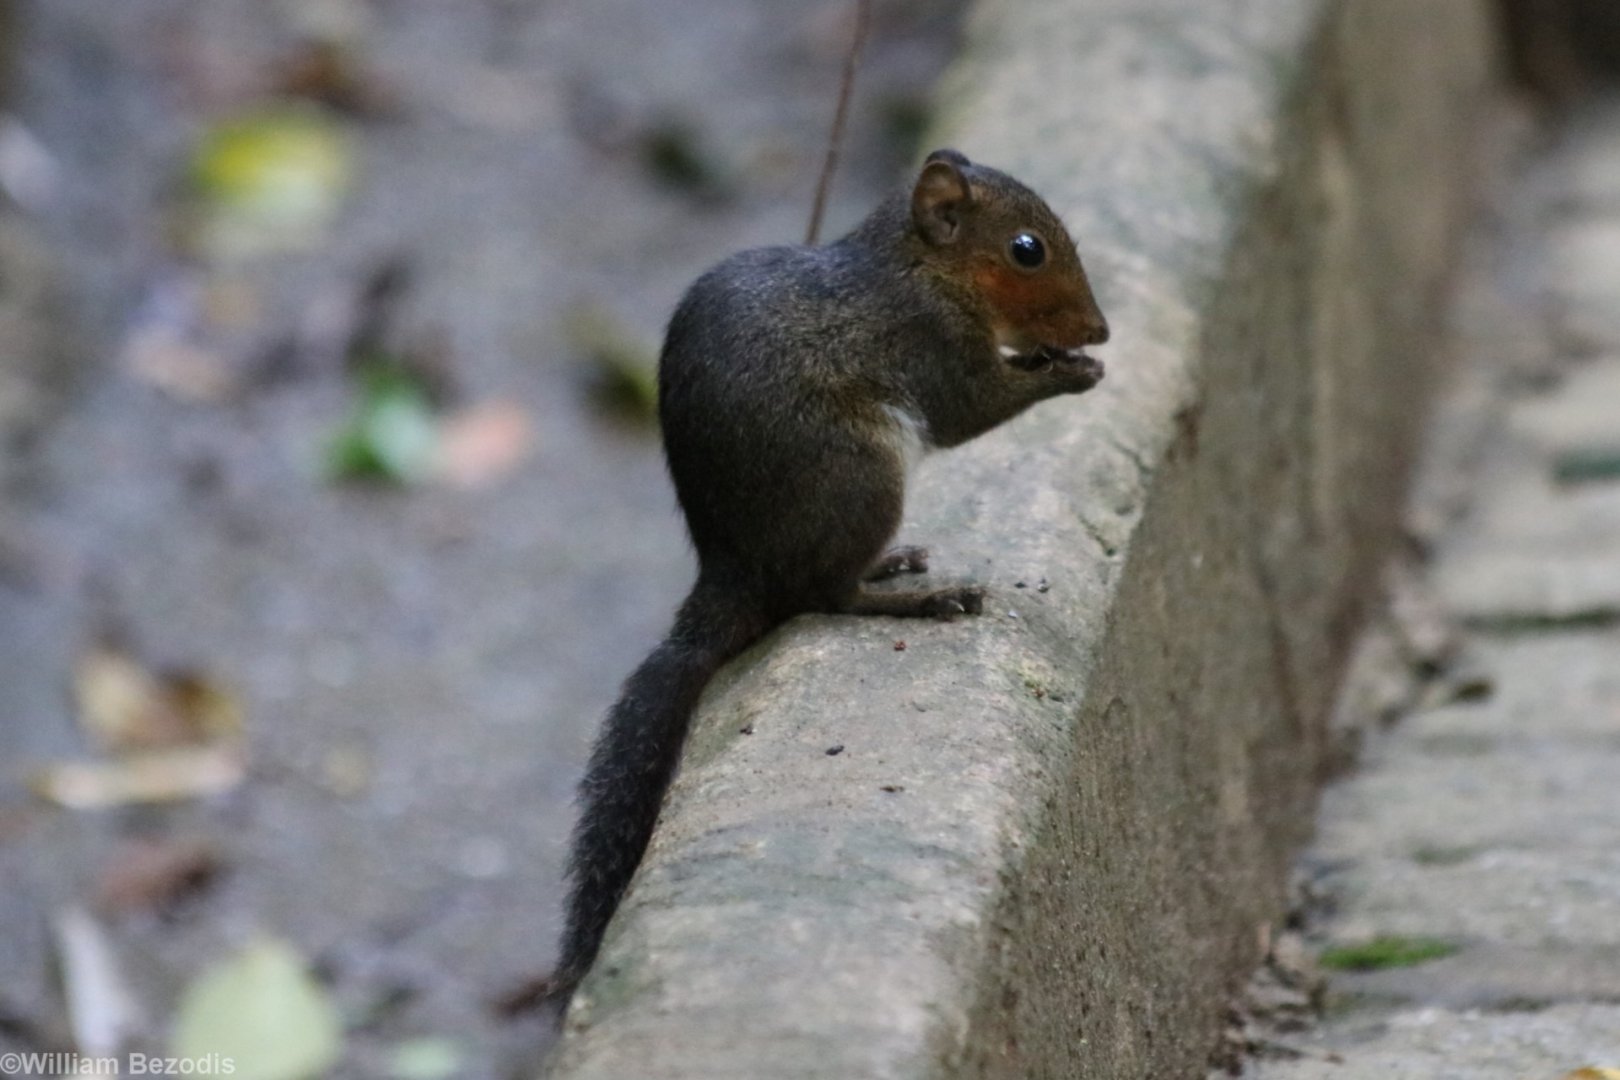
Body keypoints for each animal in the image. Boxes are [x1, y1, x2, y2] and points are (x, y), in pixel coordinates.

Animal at [552, 148, 1109, 1003]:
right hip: (860, 476)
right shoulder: (932, 344)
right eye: (1027, 250)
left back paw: (896, 565)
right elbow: (971, 409)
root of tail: (733, 573)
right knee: (825, 596)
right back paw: (919, 600)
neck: (920, 266)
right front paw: (1070, 372)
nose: (1099, 328)